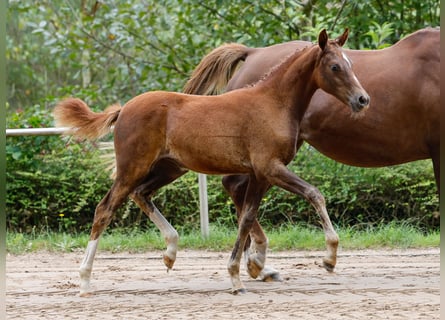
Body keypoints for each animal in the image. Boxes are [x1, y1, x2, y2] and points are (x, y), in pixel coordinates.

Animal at [54, 30, 368, 296]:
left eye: (351, 63)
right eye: (335, 67)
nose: (362, 99)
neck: (273, 103)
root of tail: (123, 109)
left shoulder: (260, 175)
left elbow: (246, 219)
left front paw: (237, 276)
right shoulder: (270, 168)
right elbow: (314, 194)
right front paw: (329, 257)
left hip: (169, 168)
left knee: (141, 194)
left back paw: (170, 252)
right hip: (132, 168)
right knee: (105, 209)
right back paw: (85, 280)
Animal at [182, 28, 438, 282]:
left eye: (351, 64)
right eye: (335, 67)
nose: (363, 99)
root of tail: (252, 52)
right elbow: (314, 194)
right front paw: (329, 256)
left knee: (239, 193)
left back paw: (256, 264)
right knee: (235, 187)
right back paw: (256, 262)